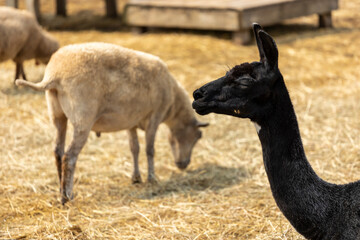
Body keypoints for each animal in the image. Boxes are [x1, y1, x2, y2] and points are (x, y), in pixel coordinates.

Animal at [15, 42, 210, 203]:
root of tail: (55, 75)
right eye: (197, 137)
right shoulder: (155, 116)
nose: (183, 165)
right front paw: (152, 178)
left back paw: (61, 188)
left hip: (57, 114)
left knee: (57, 151)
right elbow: (150, 150)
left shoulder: (131, 121)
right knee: (69, 156)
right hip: (83, 118)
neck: (173, 106)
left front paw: (136, 178)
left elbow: (134, 148)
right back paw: (66, 197)